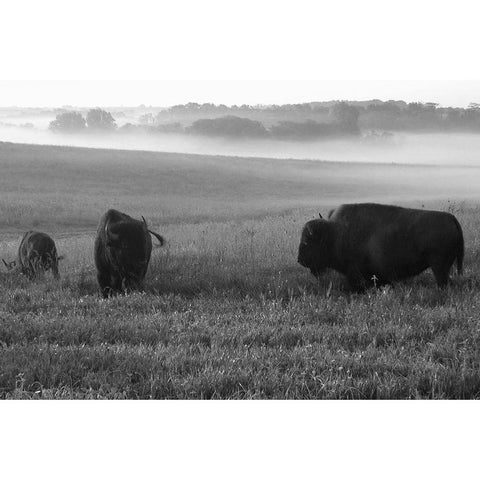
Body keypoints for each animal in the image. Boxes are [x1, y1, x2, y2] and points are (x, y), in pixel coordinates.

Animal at [298, 202, 464, 292]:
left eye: (306, 241)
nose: (299, 260)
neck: (334, 233)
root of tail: (451, 218)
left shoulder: (355, 273)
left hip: (439, 267)